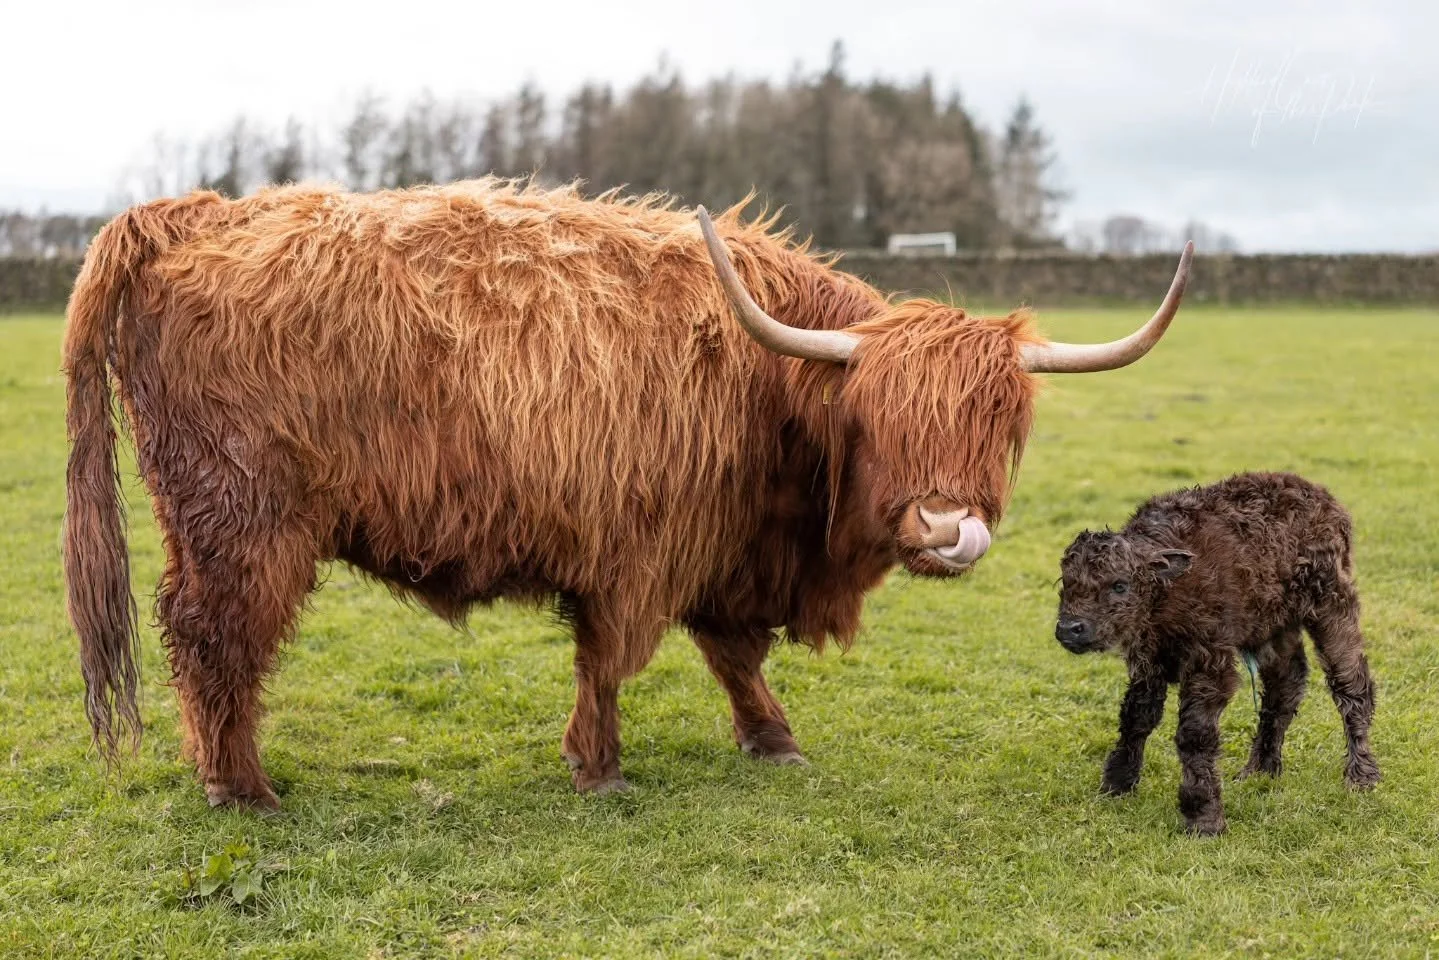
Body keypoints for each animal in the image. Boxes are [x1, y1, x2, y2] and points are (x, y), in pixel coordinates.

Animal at [63, 179, 1192, 808]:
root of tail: (194, 212)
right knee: (212, 634)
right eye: (876, 414)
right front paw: (599, 769)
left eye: (1004, 419)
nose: (948, 527)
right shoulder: (636, 545)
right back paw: (239, 787)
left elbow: (732, 655)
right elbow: (611, 660)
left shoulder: (723, 550)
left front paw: (772, 741)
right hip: (243, 520)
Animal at [1054, 472, 1380, 835]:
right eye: (1065, 583)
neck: (1168, 592)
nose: (1070, 628)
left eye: (1119, 585)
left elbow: (1194, 733)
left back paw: (1361, 776)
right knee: (1285, 687)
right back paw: (1260, 770)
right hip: (1272, 624)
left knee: (1351, 684)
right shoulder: (1148, 659)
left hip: (1332, 601)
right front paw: (1117, 785)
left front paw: (1204, 816)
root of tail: (1324, 498)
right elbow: (1136, 717)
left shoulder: (1210, 658)